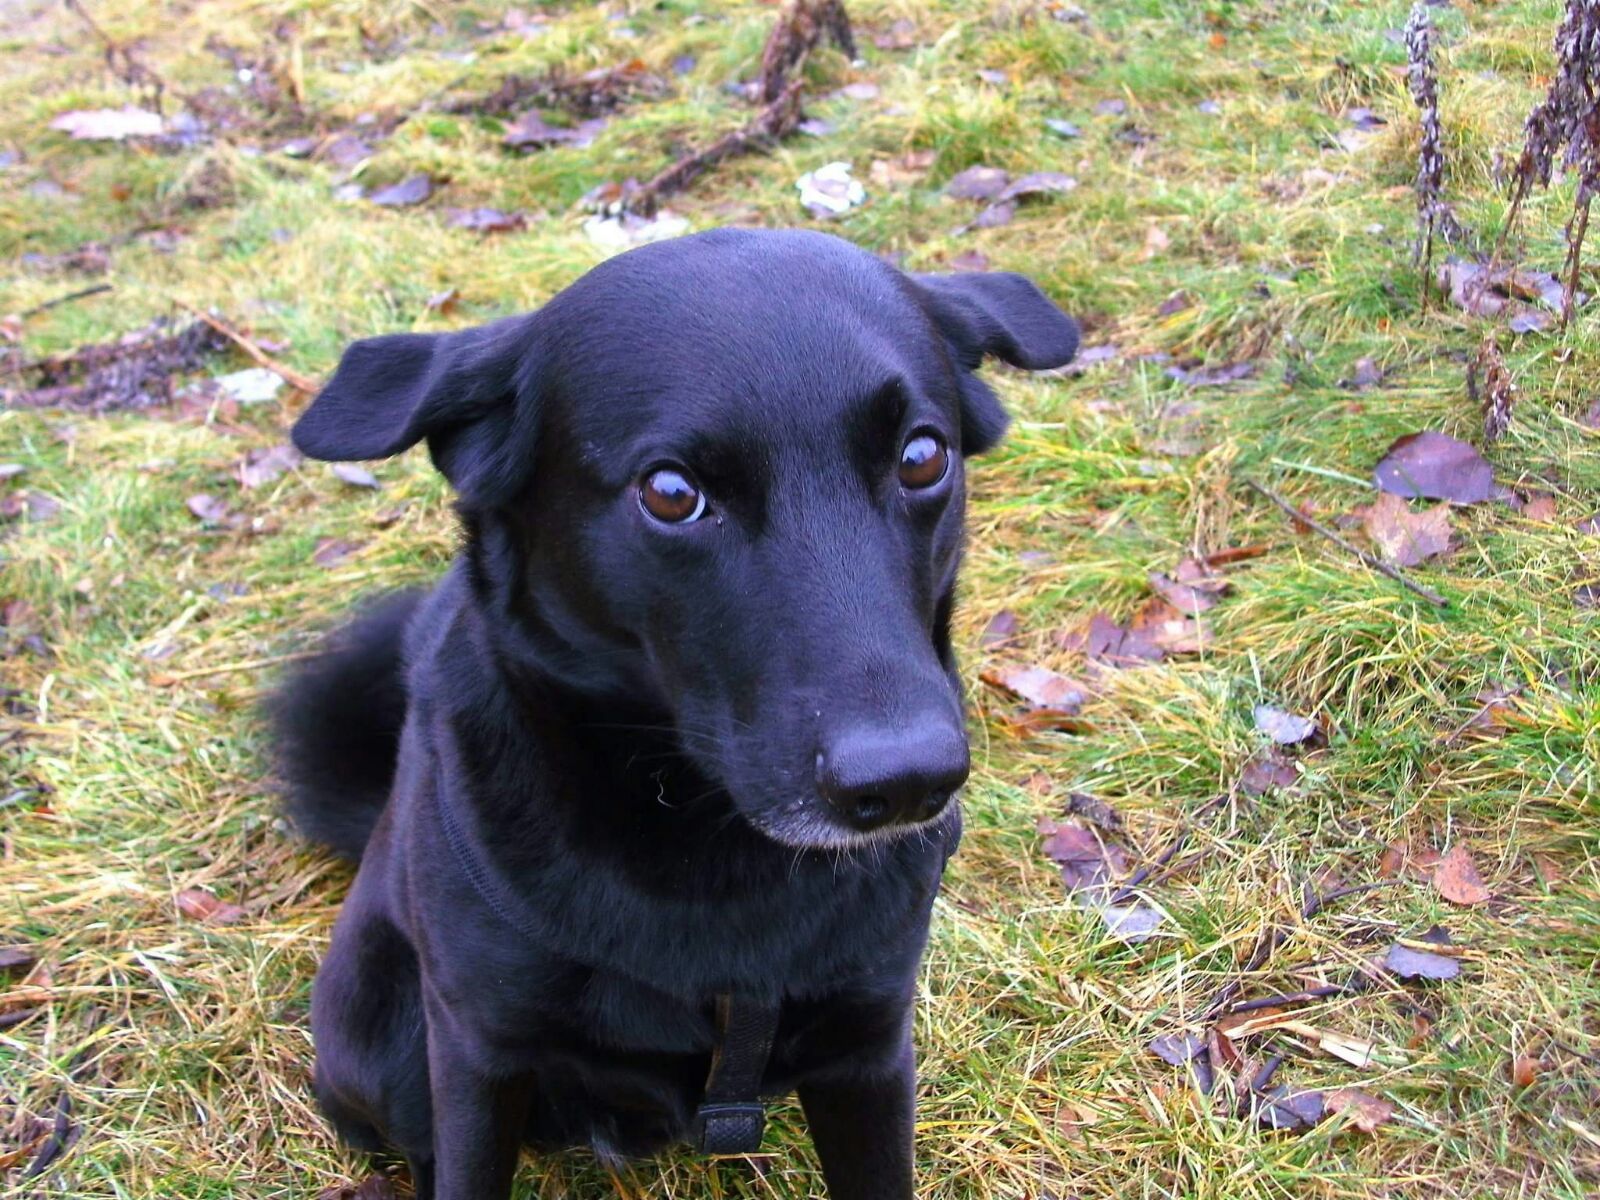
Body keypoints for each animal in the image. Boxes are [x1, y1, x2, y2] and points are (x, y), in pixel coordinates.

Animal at [275, 227, 1081, 1200]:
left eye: (923, 457)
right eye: (670, 493)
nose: (909, 781)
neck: (710, 847)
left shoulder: (869, 1047)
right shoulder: (476, 1055)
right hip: (386, 1045)